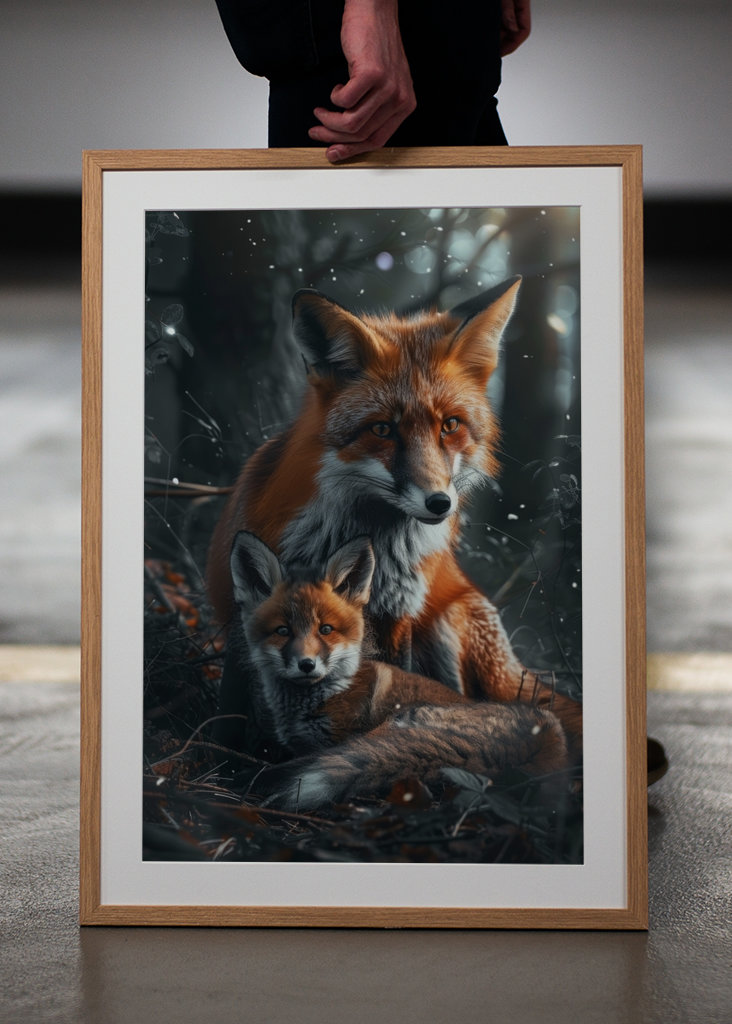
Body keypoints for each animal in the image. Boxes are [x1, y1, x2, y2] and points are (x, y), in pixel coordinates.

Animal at [207, 276, 582, 755]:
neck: (367, 539)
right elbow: (229, 712)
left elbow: (397, 683)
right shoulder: (244, 612)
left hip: (446, 622)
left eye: (450, 425)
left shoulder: (399, 614)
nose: (440, 503)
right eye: (383, 429)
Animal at [229, 530, 570, 811]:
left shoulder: (337, 740)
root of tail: (547, 735)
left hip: (395, 725)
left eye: (326, 629)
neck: (329, 692)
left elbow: (315, 757)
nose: (306, 664)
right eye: (283, 631)